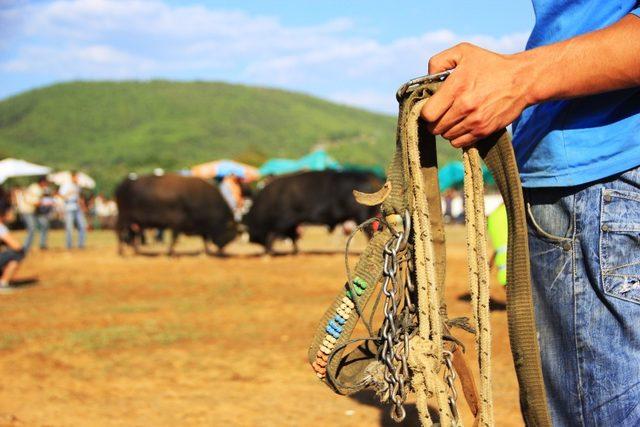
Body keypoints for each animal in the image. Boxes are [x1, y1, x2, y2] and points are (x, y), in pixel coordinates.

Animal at [242, 171, 382, 254]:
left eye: (250, 223)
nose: (251, 239)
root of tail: (372, 178)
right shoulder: (291, 222)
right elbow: (292, 237)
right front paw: (295, 251)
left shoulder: (284, 220)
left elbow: (274, 235)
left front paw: (269, 252)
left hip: (362, 215)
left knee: (369, 233)